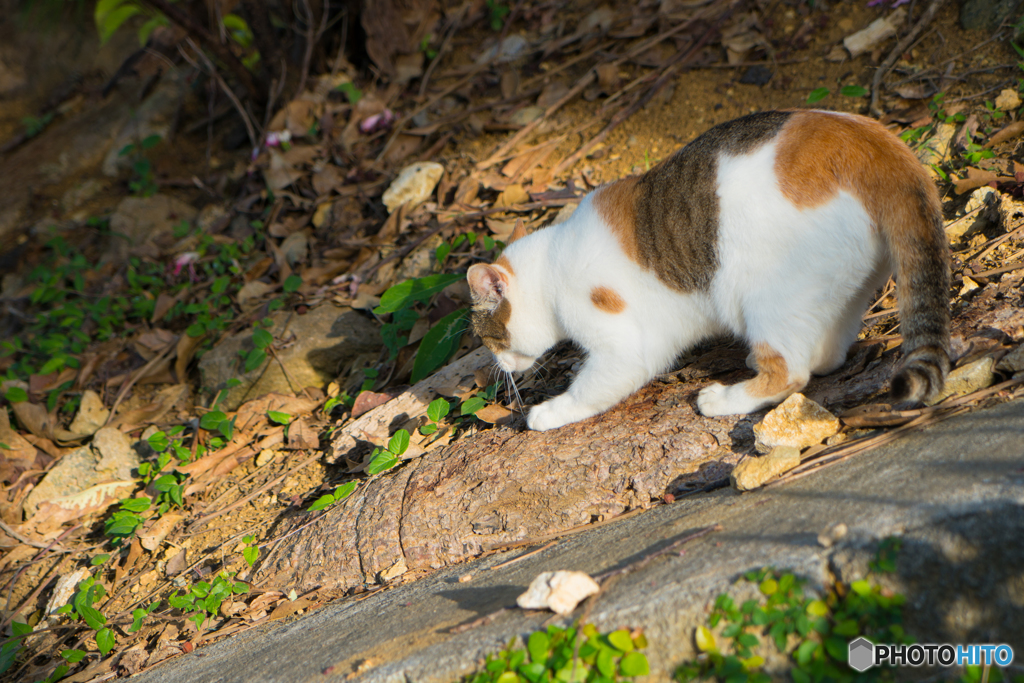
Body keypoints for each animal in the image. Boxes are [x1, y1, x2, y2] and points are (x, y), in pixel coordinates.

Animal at [468, 112, 946, 432]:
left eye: (489, 338)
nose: (499, 368)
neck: (553, 261)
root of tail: (873, 141)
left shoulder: (624, 342)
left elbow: (594, 387)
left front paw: (546, 413)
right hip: (841, 285)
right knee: (827, 352)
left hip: (766, 290)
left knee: (791, 370)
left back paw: (723, 398)